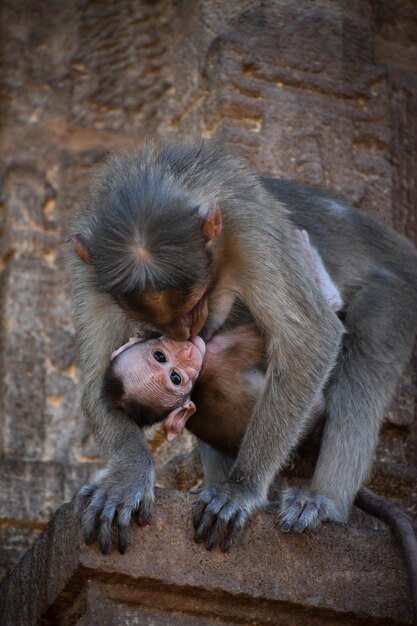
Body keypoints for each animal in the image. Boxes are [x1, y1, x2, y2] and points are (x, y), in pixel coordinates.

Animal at [66, 140, 416, 552]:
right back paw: (326, 502)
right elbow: (97, 377)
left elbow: (311, 337)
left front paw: (241, 487)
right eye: (161, 339)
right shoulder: (88, 272)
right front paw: (128, 476)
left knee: (363, 357)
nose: (185, 335)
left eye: (194, 301)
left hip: (396, 287)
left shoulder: (249, 225)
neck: (160, 176)